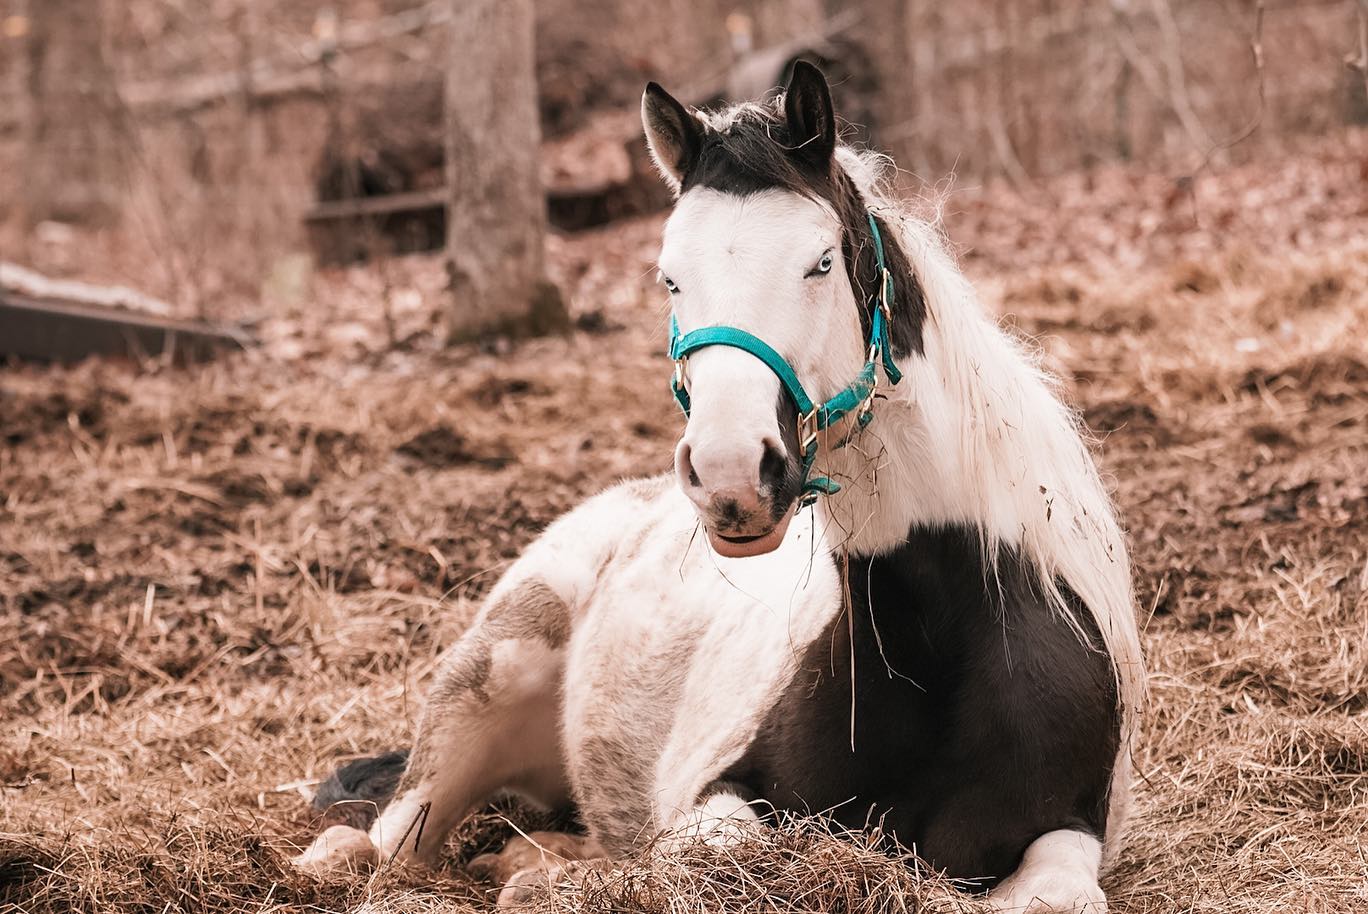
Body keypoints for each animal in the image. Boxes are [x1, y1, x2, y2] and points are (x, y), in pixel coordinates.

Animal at [294, 63, 1144, 913]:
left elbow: (1057, 891)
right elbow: (721, 847)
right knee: (381, 841)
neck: (943, 640)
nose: (731, 476)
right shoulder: (721, 792)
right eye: (671, 277)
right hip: (485, 686)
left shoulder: (1072, 829)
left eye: (821, 262)